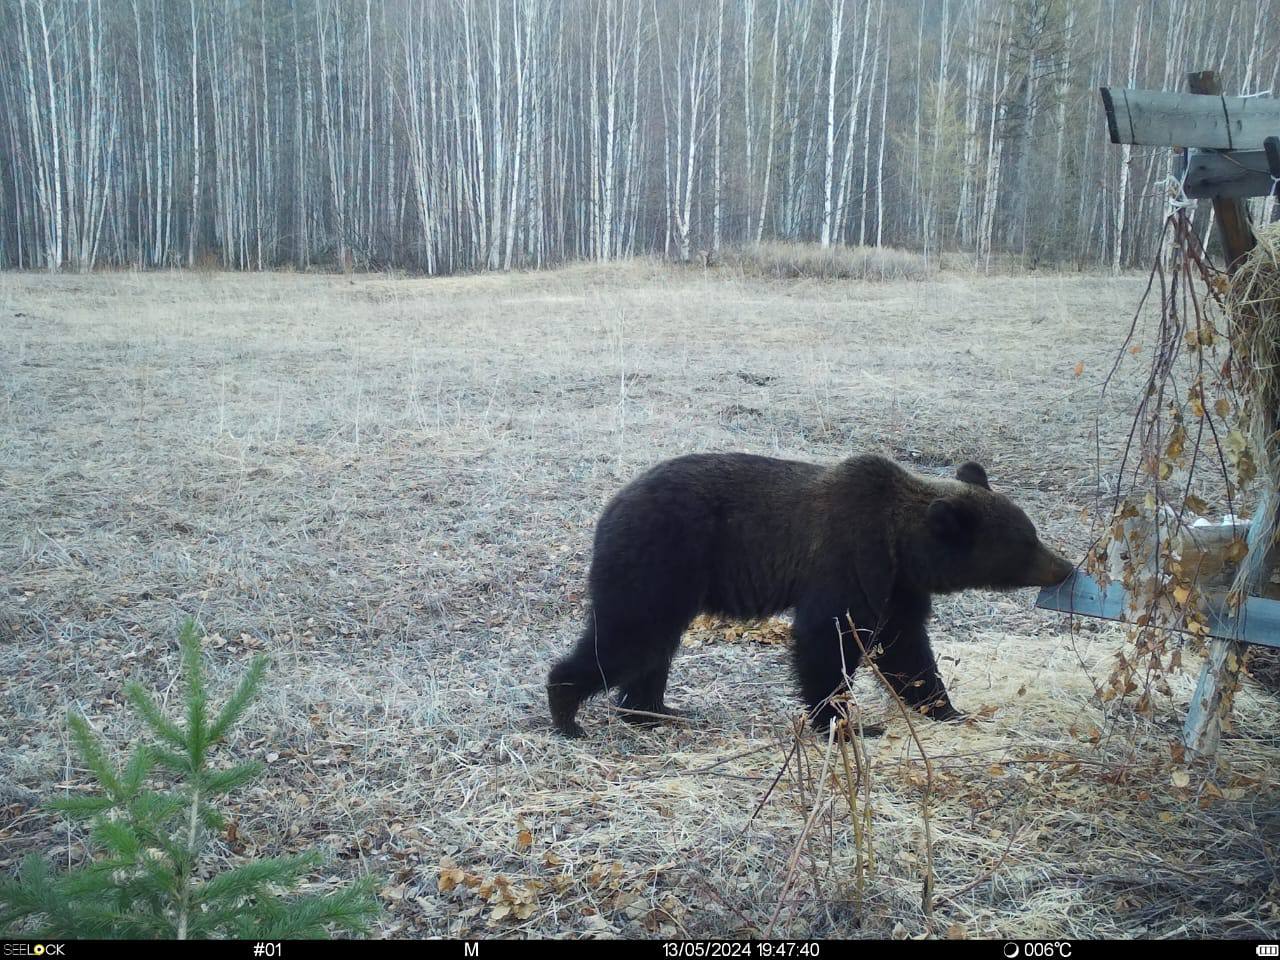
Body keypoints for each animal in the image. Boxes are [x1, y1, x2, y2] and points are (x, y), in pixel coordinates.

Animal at [545, 455, 1075, 742]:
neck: (902, 545)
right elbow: (827, 638)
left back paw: (654, 711)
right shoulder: (848, 559)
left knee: (654, 647)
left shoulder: (898, 587)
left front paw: (944, 708)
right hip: (660, 559)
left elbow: (905, 649)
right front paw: (845, 722)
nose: (1065, 566)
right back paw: (568, 709)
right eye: (1027, 541)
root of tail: (610, 508)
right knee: (631, 637)